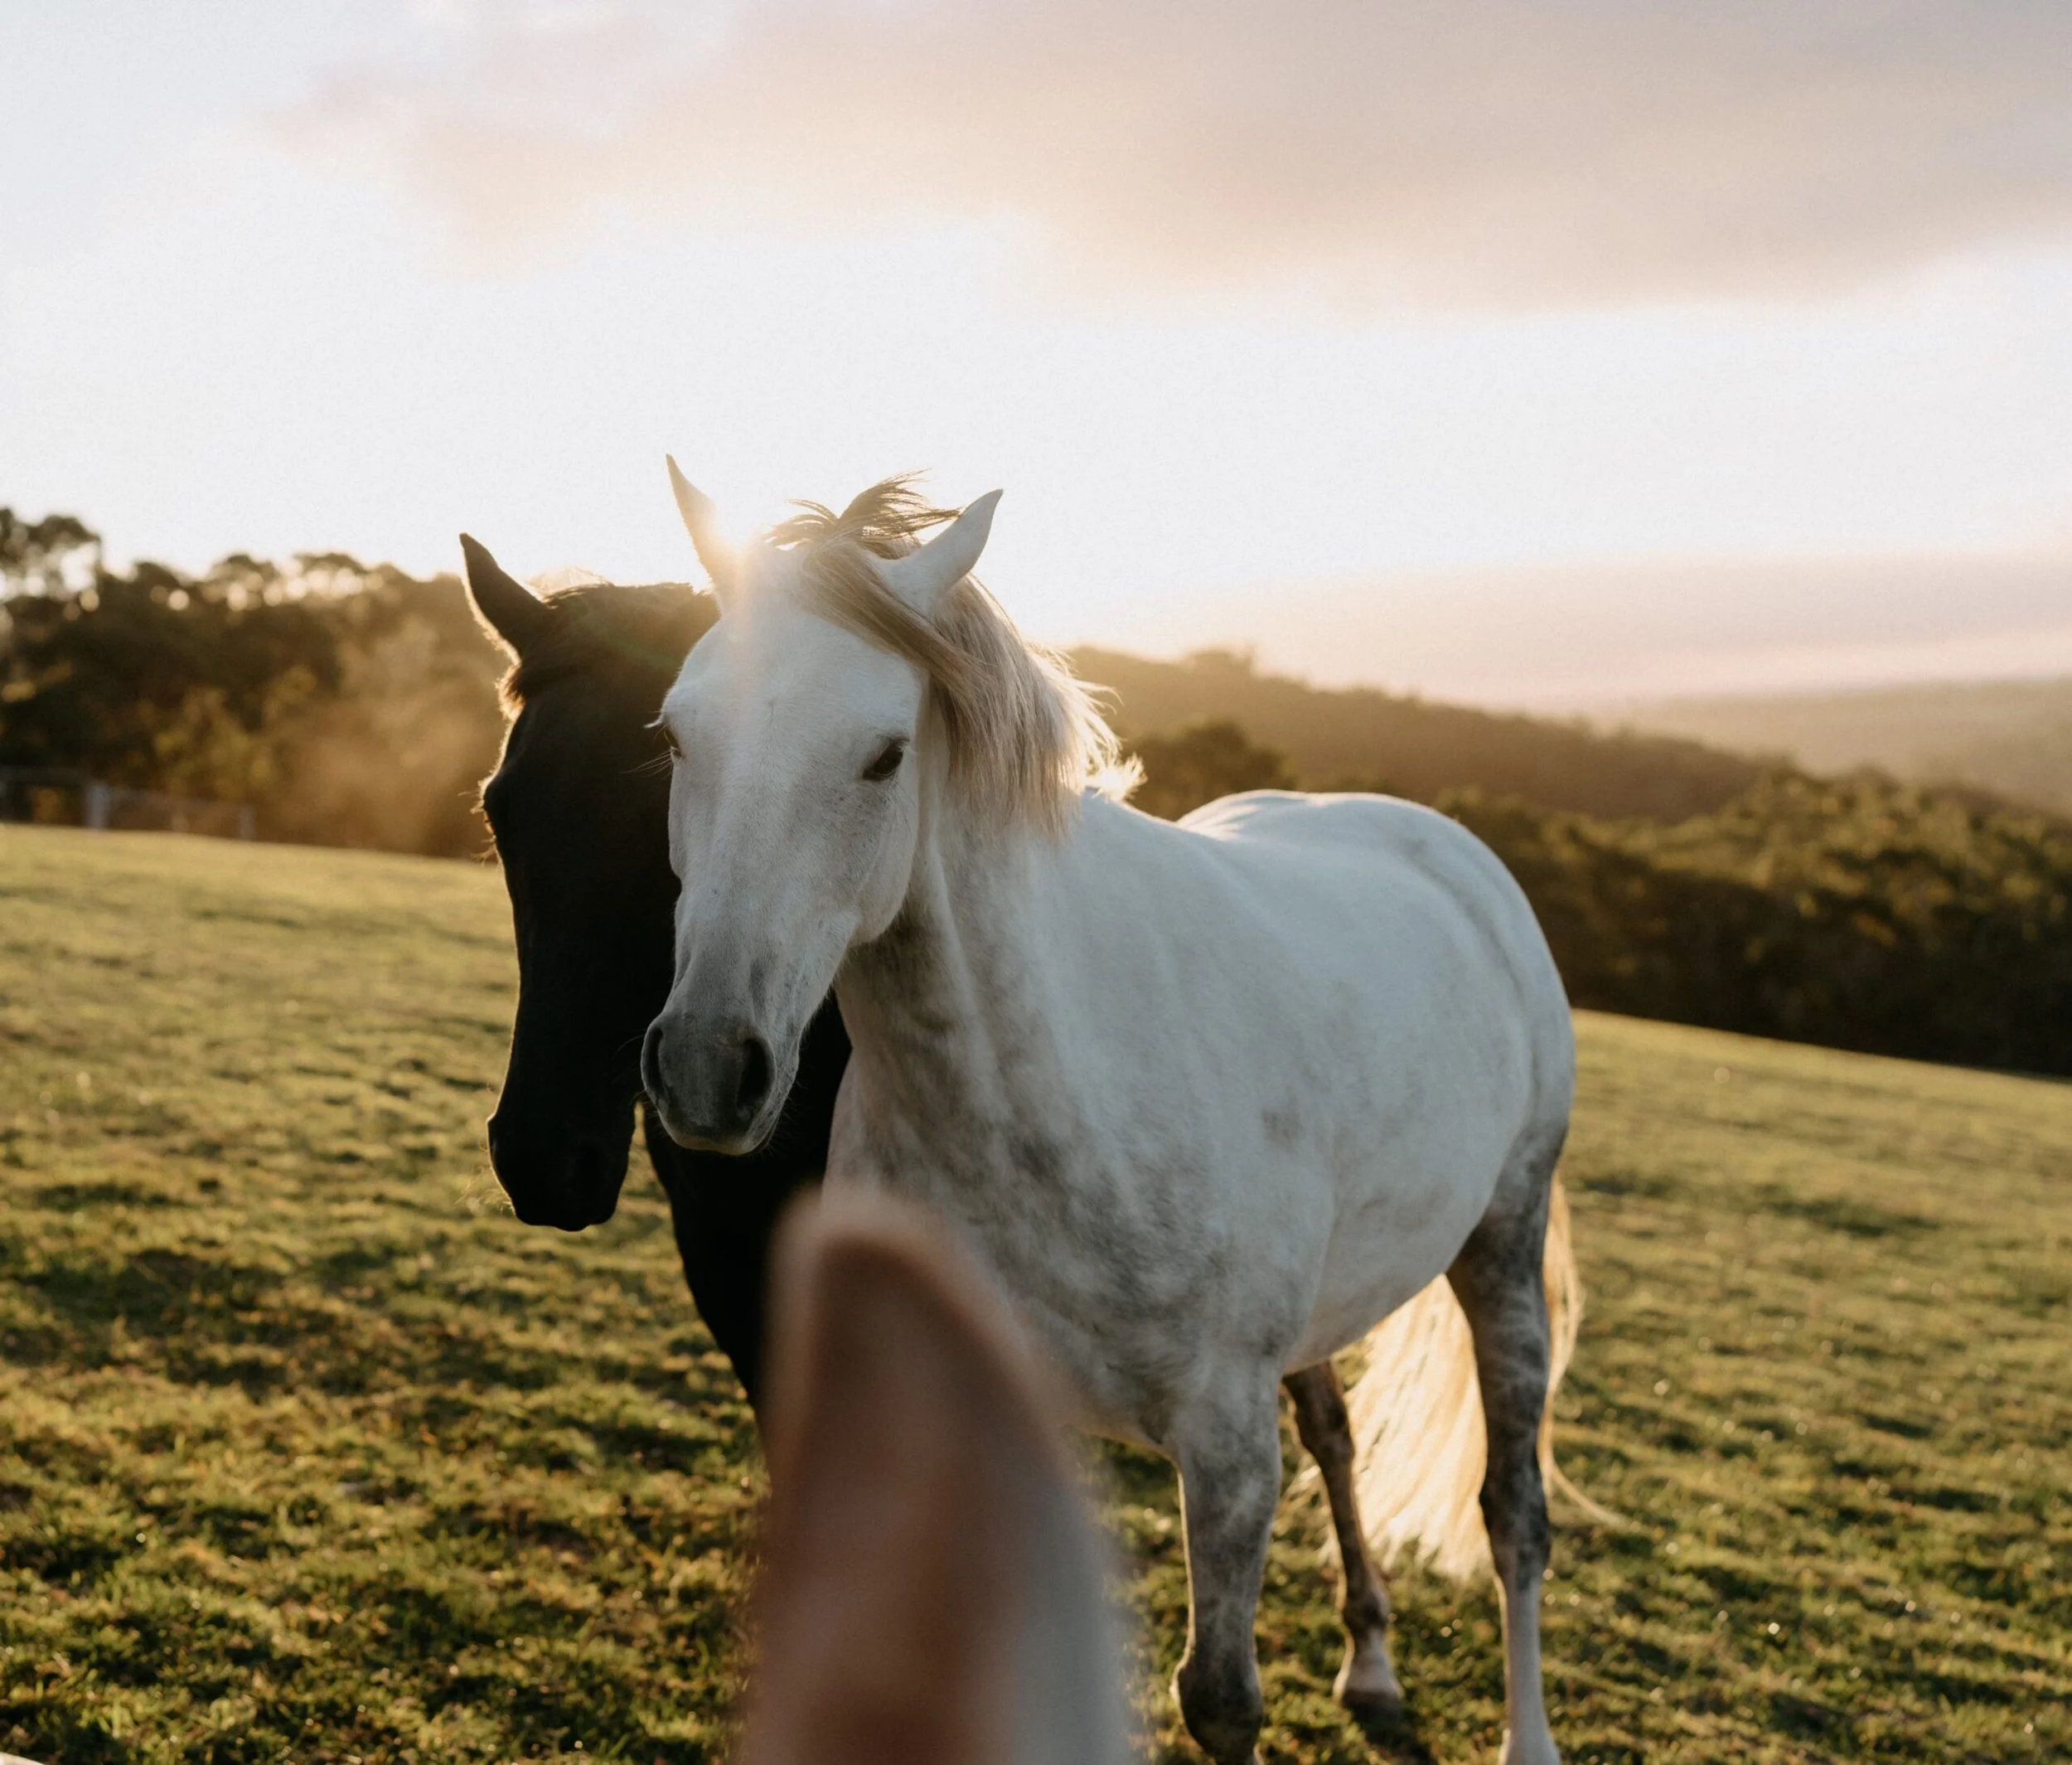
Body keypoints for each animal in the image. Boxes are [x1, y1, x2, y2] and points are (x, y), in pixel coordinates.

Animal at [641, 471, 1589, 1765]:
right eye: (674, 733)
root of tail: (1455, 855)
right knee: (1339, 1439)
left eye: (885, 756)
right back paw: (1372, 1661)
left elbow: (1222, 1697)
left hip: (1502, 1245)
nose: (704, 1066)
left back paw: (1523, 1732)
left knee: (1513, 1513)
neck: (1040, 1094)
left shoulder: (1224, 1445)